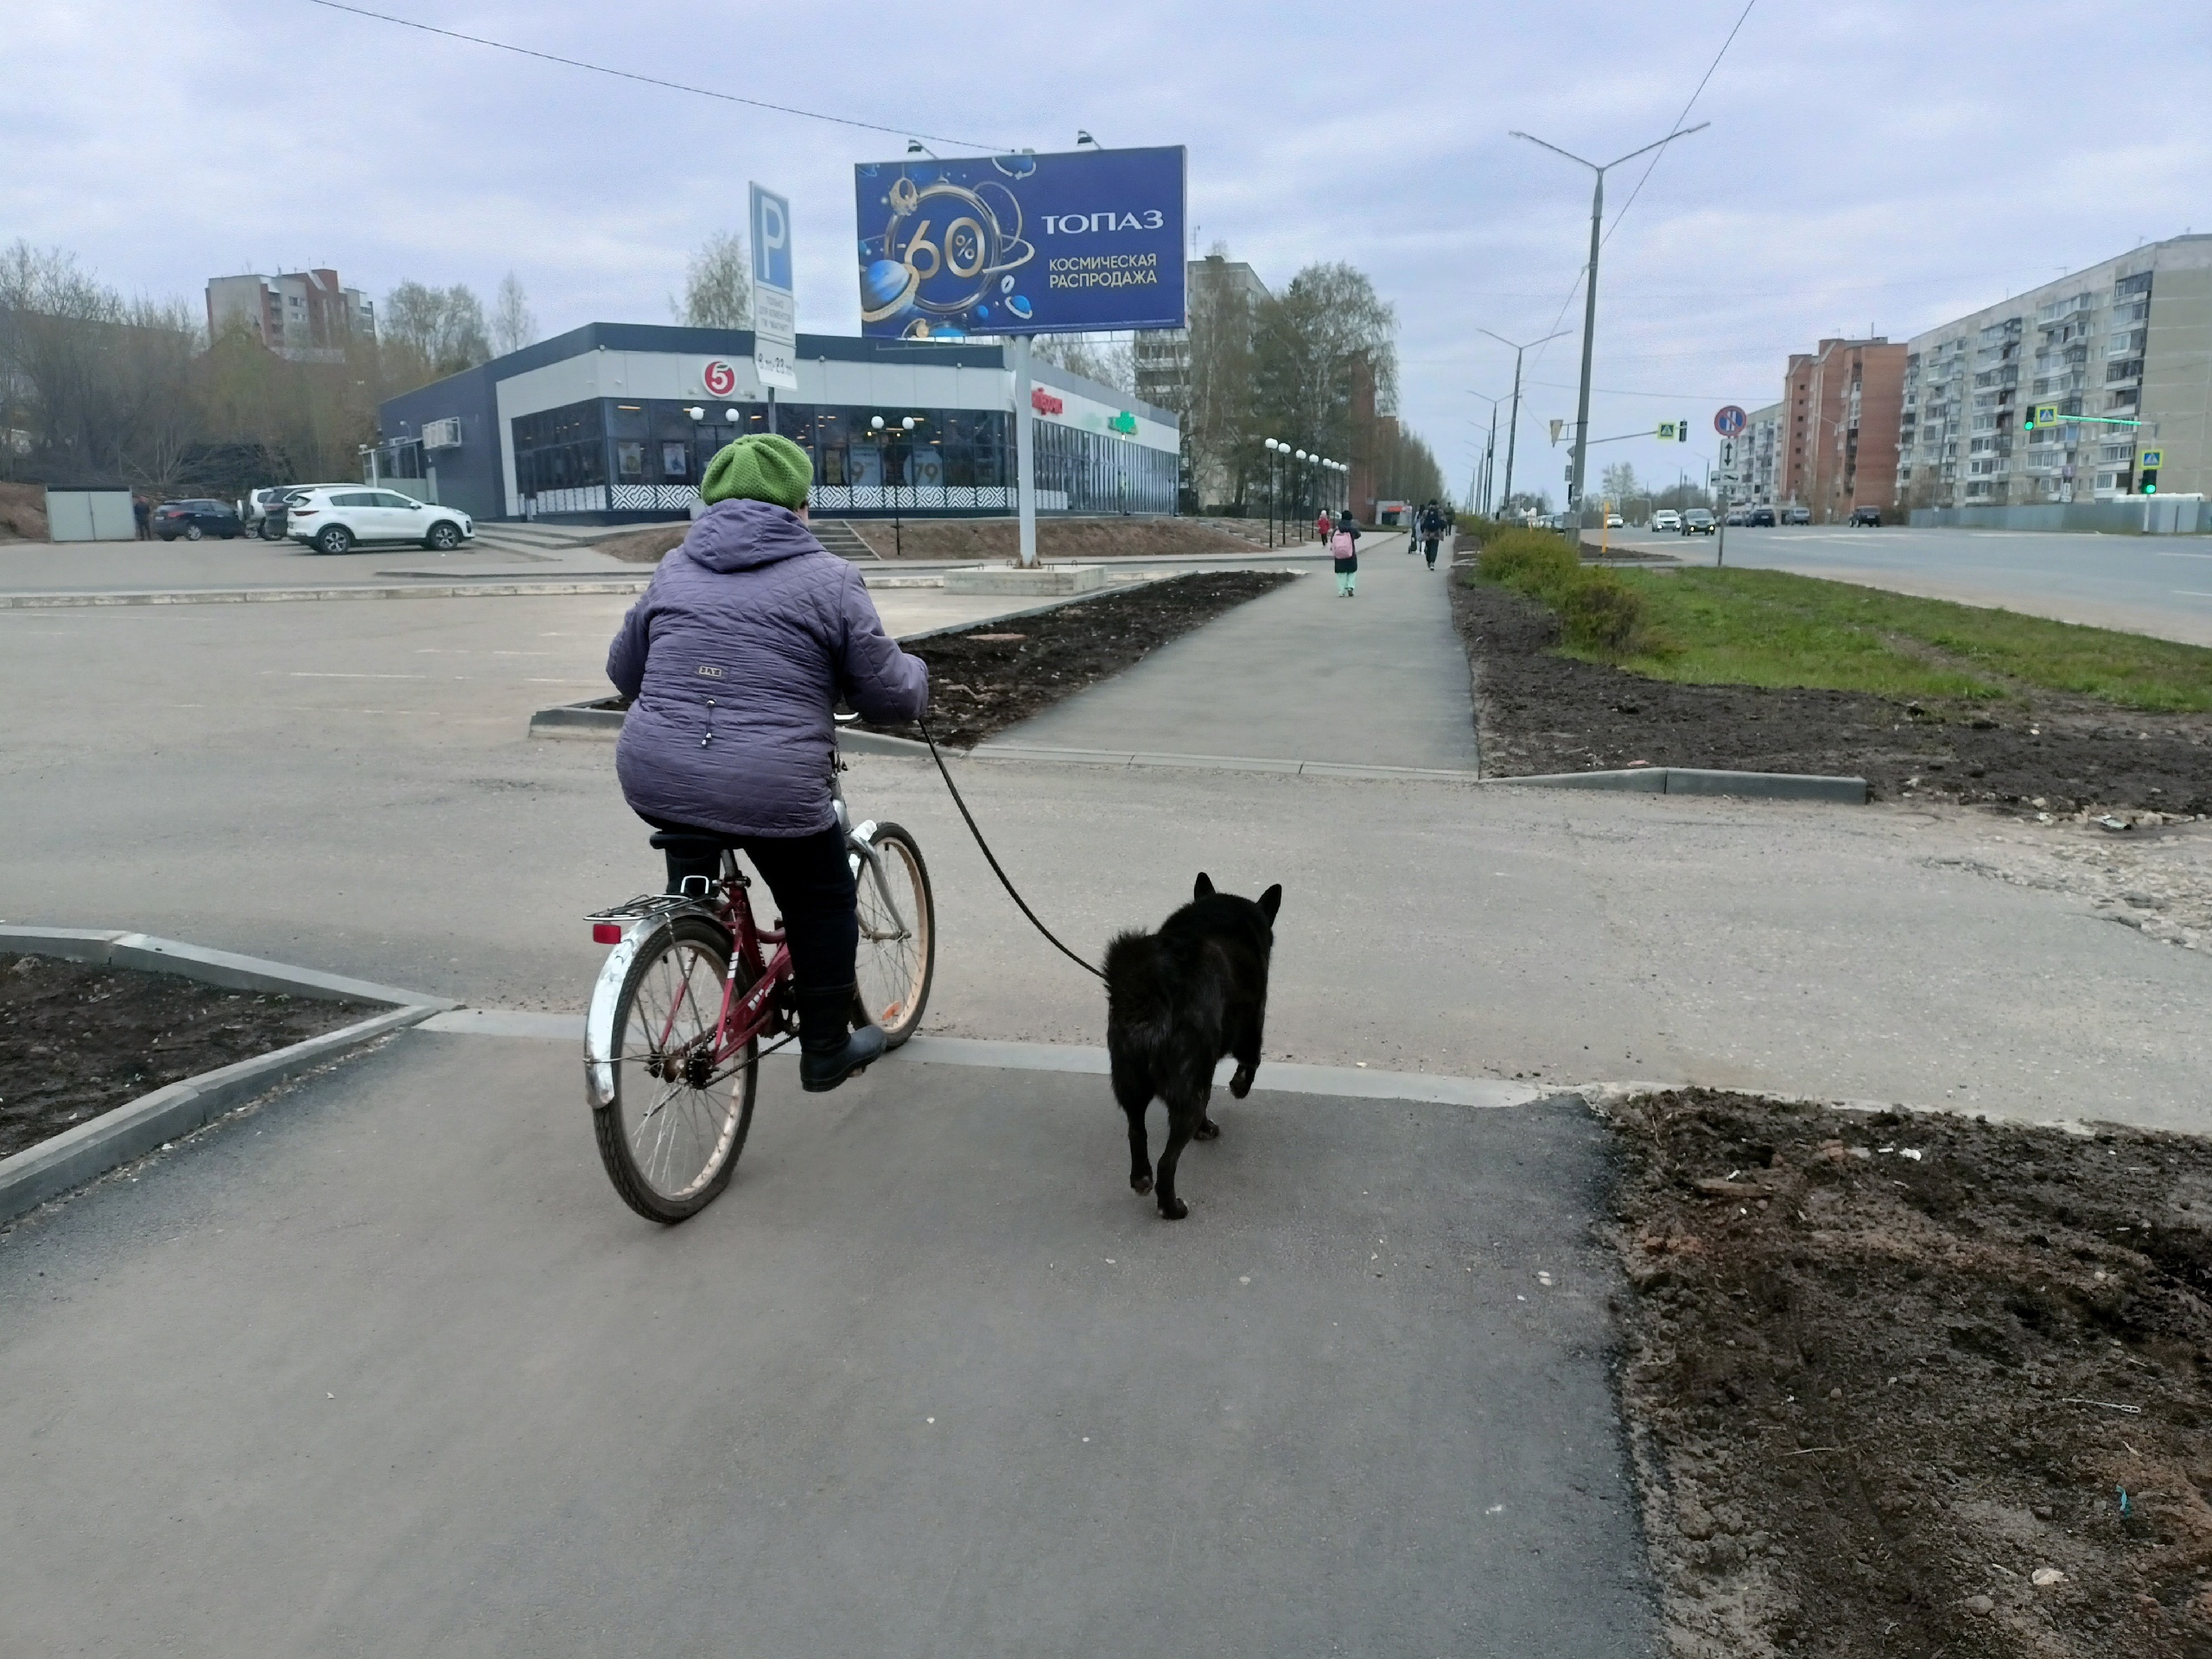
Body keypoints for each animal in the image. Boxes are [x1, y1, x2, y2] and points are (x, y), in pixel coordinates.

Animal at [1101, 875, 1282, 1211]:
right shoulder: (1253, 1024)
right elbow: (1252, 1062)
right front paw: (1238, 1088)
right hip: (1190, 1092)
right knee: (1167, 1161)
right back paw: (1172, 1207)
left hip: (1131, 1084)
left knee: (1137, 1132)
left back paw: (1141, 1180)